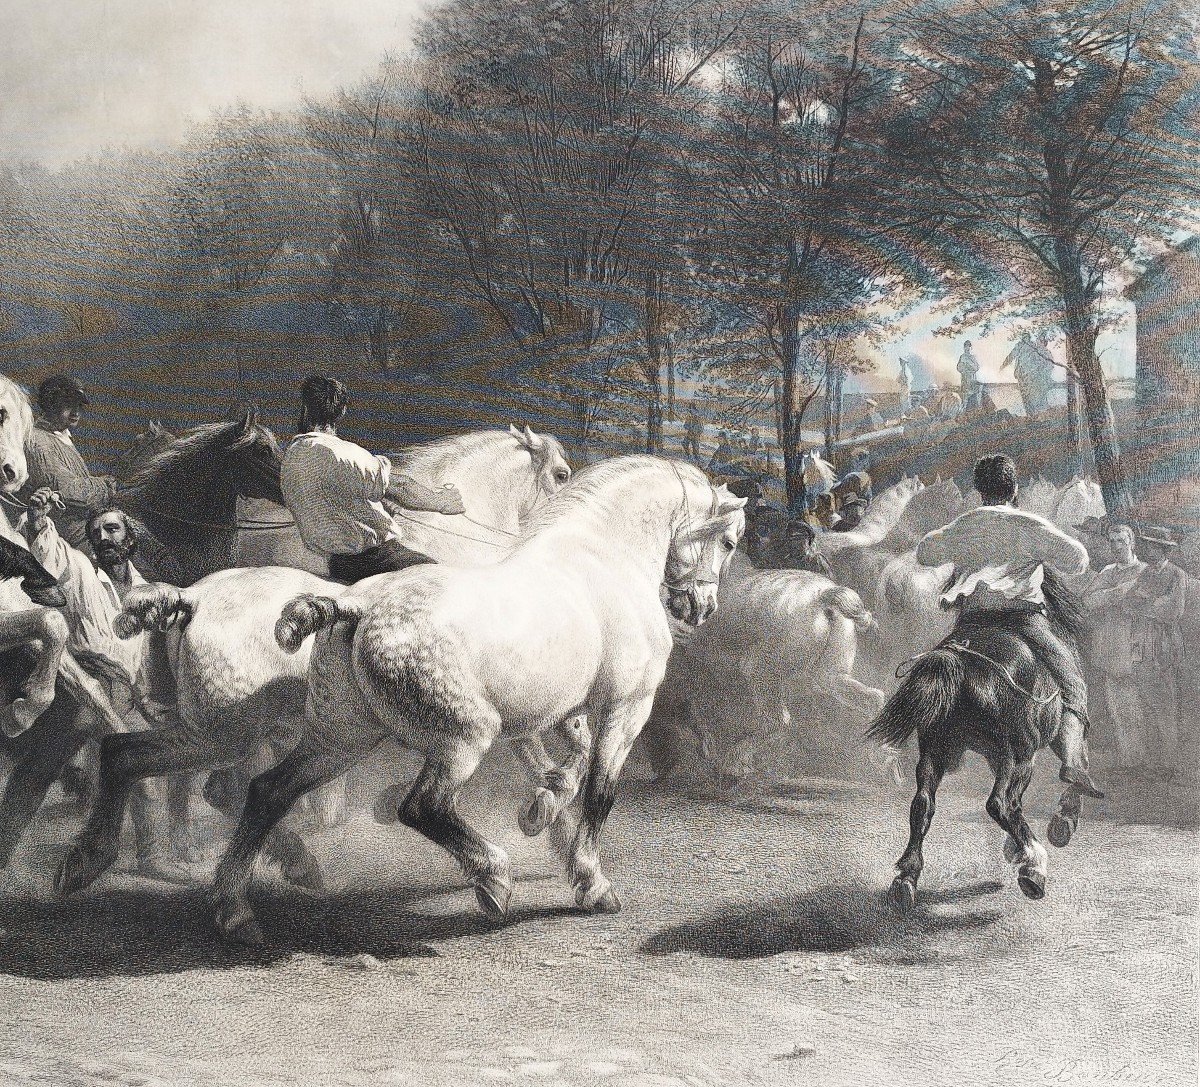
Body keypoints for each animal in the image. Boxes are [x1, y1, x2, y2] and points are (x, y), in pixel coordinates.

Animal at [57, 427, 576, 892]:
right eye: (562, 474)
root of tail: (190, 598)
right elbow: (535, 749)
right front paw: (548, 820)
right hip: (229, 728)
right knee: (211, 781)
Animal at [198, 453, 744, 935]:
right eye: (730, 542)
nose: (702, 607)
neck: (600, 558)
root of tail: (357, 605)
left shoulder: (558, 710)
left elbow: (567, 762)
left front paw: (541, 810)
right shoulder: (626, 708)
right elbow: (598, 791)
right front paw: (592, 884)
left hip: (341, 737)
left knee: (268, 791)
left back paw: (234, 911)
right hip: (464, 738)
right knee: (421, 807)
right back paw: (493, 880)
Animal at [868, 571, 1094, 911]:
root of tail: (959, 663)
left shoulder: (990, 756)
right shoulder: (1033, 745)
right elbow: (1075, 767)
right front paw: (1060, 825)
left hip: (936, 752)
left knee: (923, 804)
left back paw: (905, 881)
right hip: (1019, 757)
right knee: (1001, 803)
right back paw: (1034, 868)